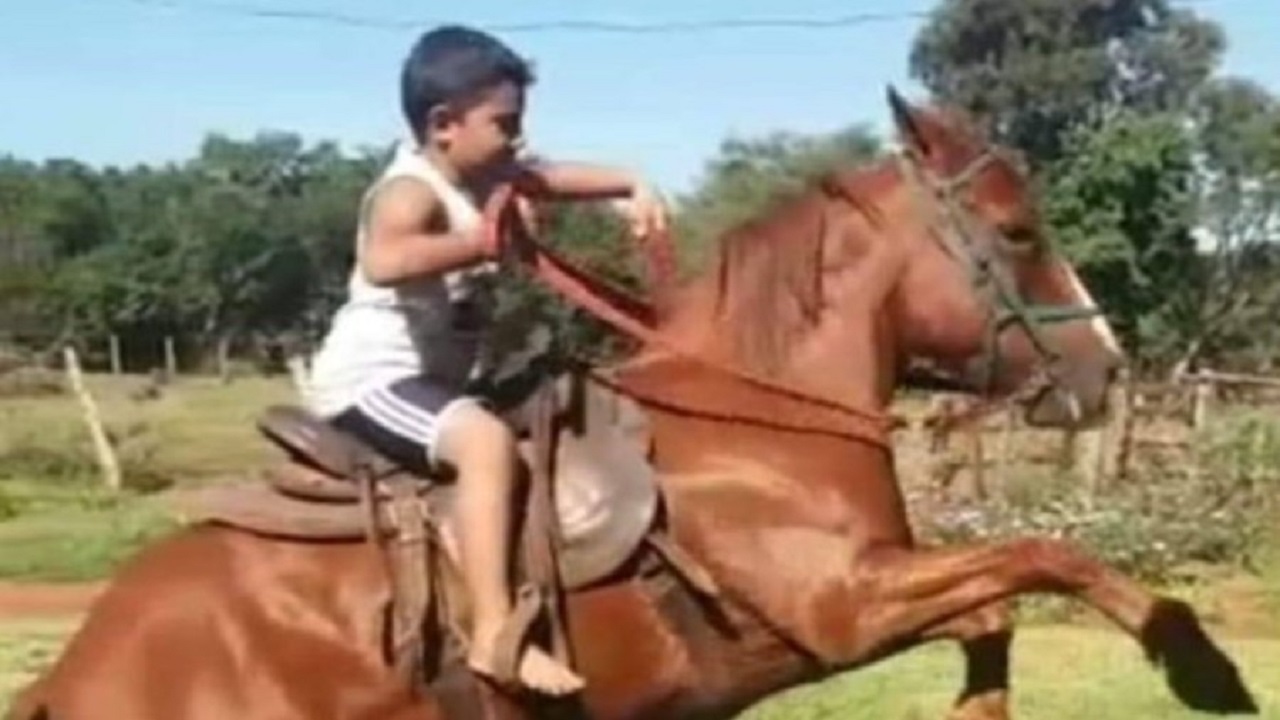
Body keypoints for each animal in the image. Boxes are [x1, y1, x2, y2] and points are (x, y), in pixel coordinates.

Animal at [8, 89, 1256, 720]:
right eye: (1015, 232)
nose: (1103, 371)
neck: (753, 424)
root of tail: (78, 670)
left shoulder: (873, 603)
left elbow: (997, 612)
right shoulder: (840, 608)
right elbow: (1046, 558)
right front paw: (1198, 666)